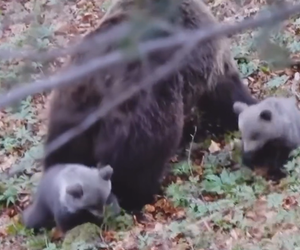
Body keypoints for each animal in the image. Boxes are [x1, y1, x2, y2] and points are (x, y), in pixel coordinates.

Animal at [43, 0, 256, 213]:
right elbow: (225, 91)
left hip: (70, 109)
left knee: (65, 154)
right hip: (143, 108)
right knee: (139, 163)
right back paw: (139, 196)